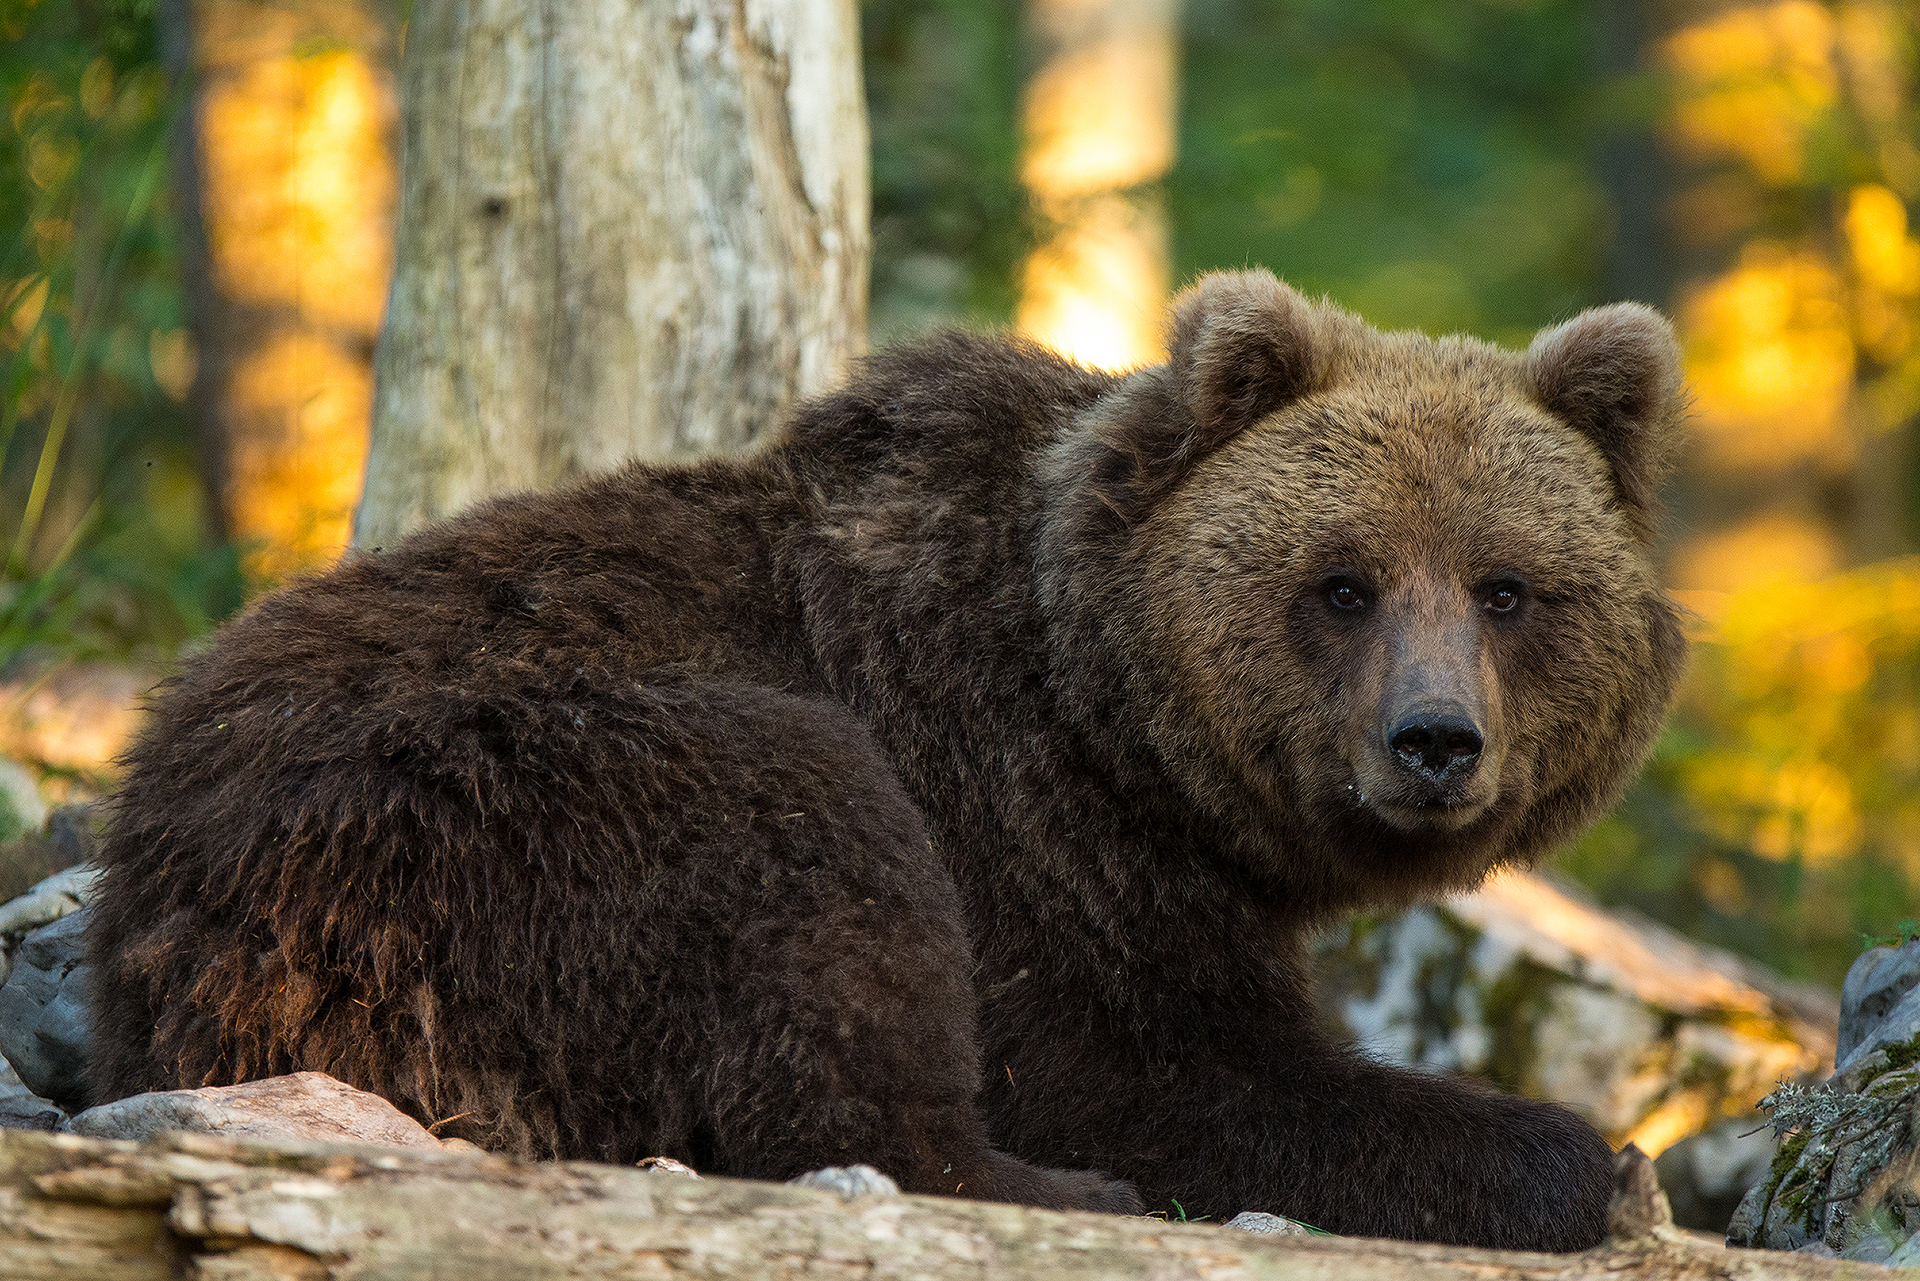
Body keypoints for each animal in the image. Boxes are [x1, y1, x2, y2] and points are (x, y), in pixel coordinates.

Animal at [86, 272, 1681, 1252]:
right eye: (1343, 582)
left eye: (1508, 587)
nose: (1435, 741)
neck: (1108, 705)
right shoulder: (1017, 801)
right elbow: (1148, 1069)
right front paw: (1575, 1156)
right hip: (477, 813)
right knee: (802, 859)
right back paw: (1063, 1186)